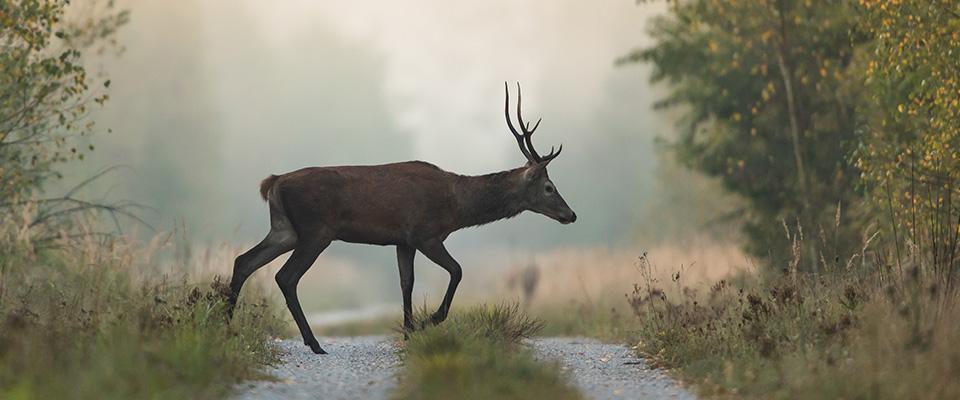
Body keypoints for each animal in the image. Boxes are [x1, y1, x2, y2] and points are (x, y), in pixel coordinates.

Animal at [228, 83, 572, 354]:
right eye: (549, 187)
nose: (571, 214)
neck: (457, 206)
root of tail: (273, 182)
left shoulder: (402, 241)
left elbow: (407, 282)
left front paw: (408, 331)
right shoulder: (426, 233)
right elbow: (457, 271)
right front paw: (428, 321)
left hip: (285, 229)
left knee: (243, 261)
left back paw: (226, 321)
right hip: (316, 230)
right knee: (285, 276)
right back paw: (313, 343)